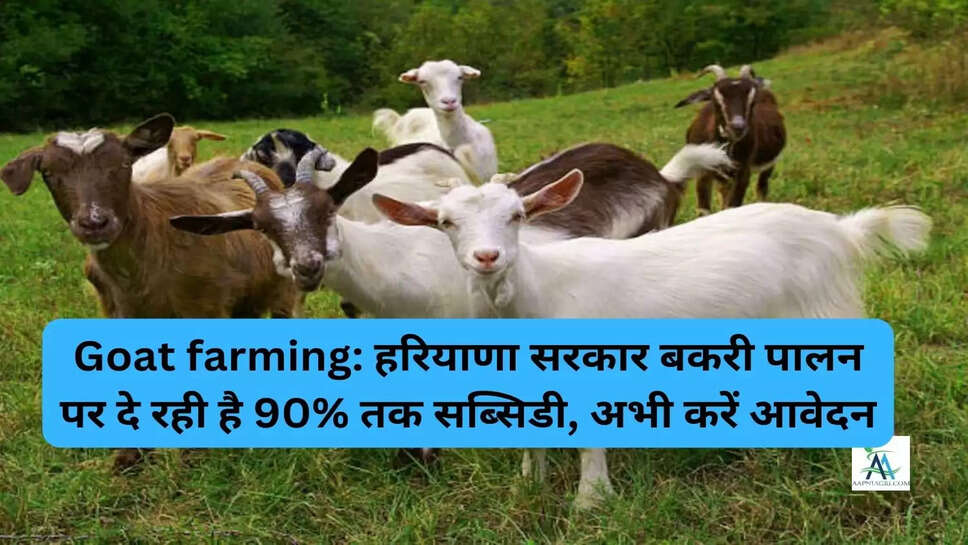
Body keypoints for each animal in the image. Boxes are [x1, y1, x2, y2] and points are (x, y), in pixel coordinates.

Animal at [1, 114, 301, 470]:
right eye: (48, 173)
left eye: (122, 164)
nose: (94, 222)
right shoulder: (117, 309)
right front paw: (129, 455)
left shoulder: (202, 306)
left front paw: (194, 454)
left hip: (282, 286)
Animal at [374, 171, 931, 509]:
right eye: (445, 223)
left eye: (517, 216)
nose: (487, 257)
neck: (536, 292)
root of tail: (842, 231)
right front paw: (528, 484)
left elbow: (589, 443)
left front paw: (591, 501)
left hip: (825, 314)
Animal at [675, 64, 786, 214]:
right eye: (716, 100)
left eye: (752, 102)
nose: (737, 127)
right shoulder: (703, 173)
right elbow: (704, 210)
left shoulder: (743, 172)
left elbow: (732, 206)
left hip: (769, 164)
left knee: (762, 187)